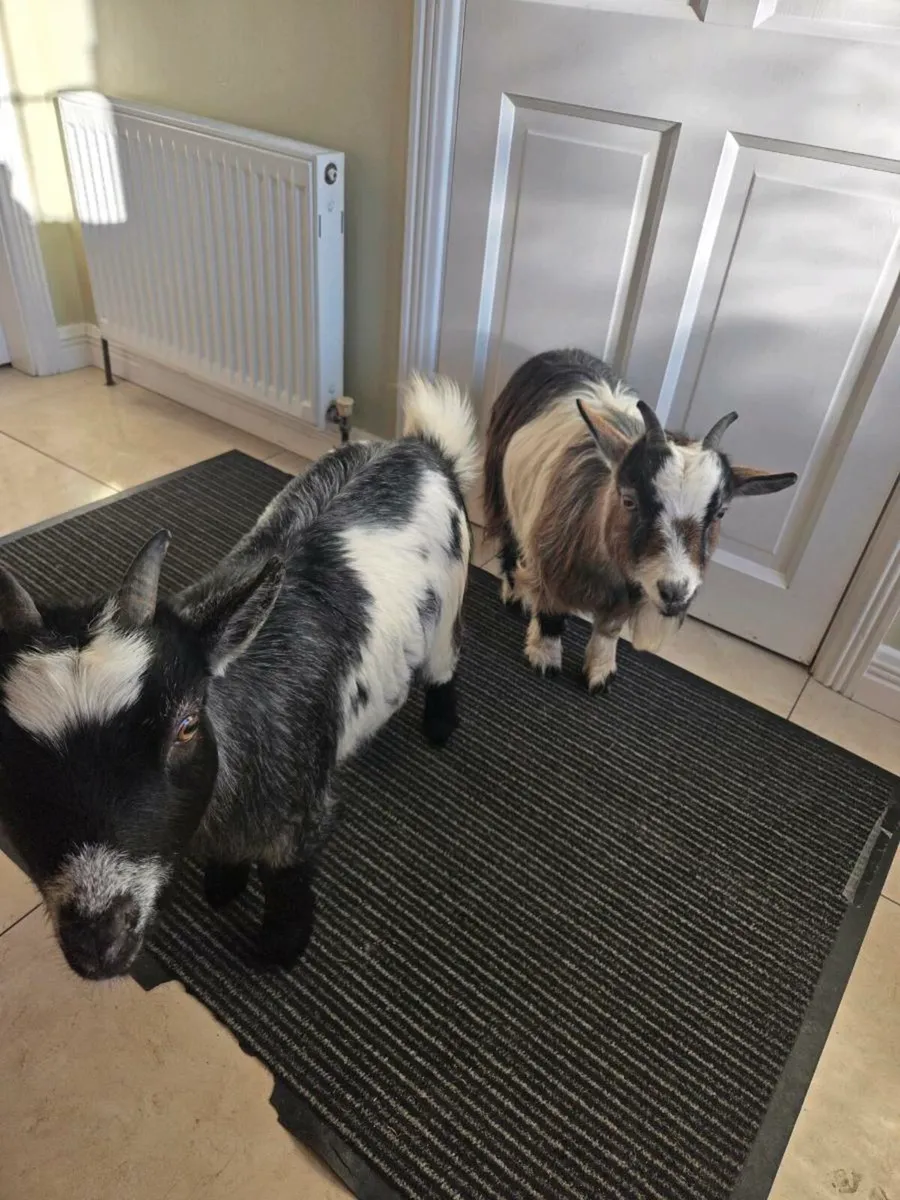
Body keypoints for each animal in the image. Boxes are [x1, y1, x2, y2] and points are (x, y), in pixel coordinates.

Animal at [0, 375, 477, 980]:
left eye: (186, 725)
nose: (99, 938)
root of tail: (421, 447)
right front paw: (223, 886)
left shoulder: (302, 819)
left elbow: (287, 882)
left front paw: (279, 948)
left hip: (449, 604)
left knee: (445, 665)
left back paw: (441, 725)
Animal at [483, 348, 797, 692]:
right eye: (629, 500)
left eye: (720, 512)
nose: (675, 592)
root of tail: (562, 353)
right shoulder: (551, 564)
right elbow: (552, 614)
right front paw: (544, 658)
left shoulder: (631, 589)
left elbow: (609, 630)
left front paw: (600, 674)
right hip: (503, 488)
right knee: (509, 537)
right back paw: (515, 595)